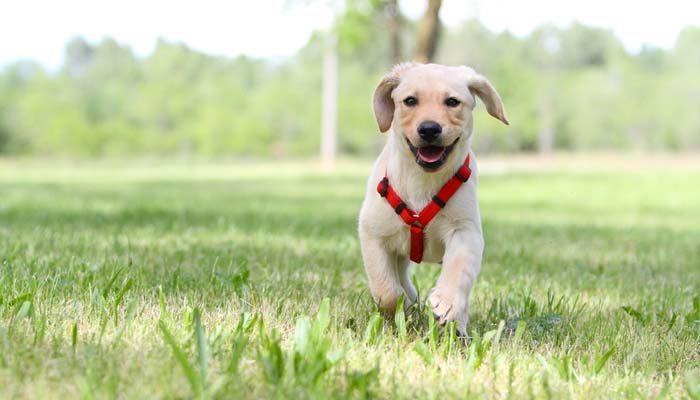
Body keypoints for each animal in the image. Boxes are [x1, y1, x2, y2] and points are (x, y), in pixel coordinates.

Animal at [358, 62, 506, 338]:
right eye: (410, 100)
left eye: (452, 101)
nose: (429, 129)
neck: (423, 180)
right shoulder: (372, 233)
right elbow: (385, 290)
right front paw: (404, 306)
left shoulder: (465, 231)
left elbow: (459, 267)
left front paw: (446, 302)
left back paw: (457, 329)